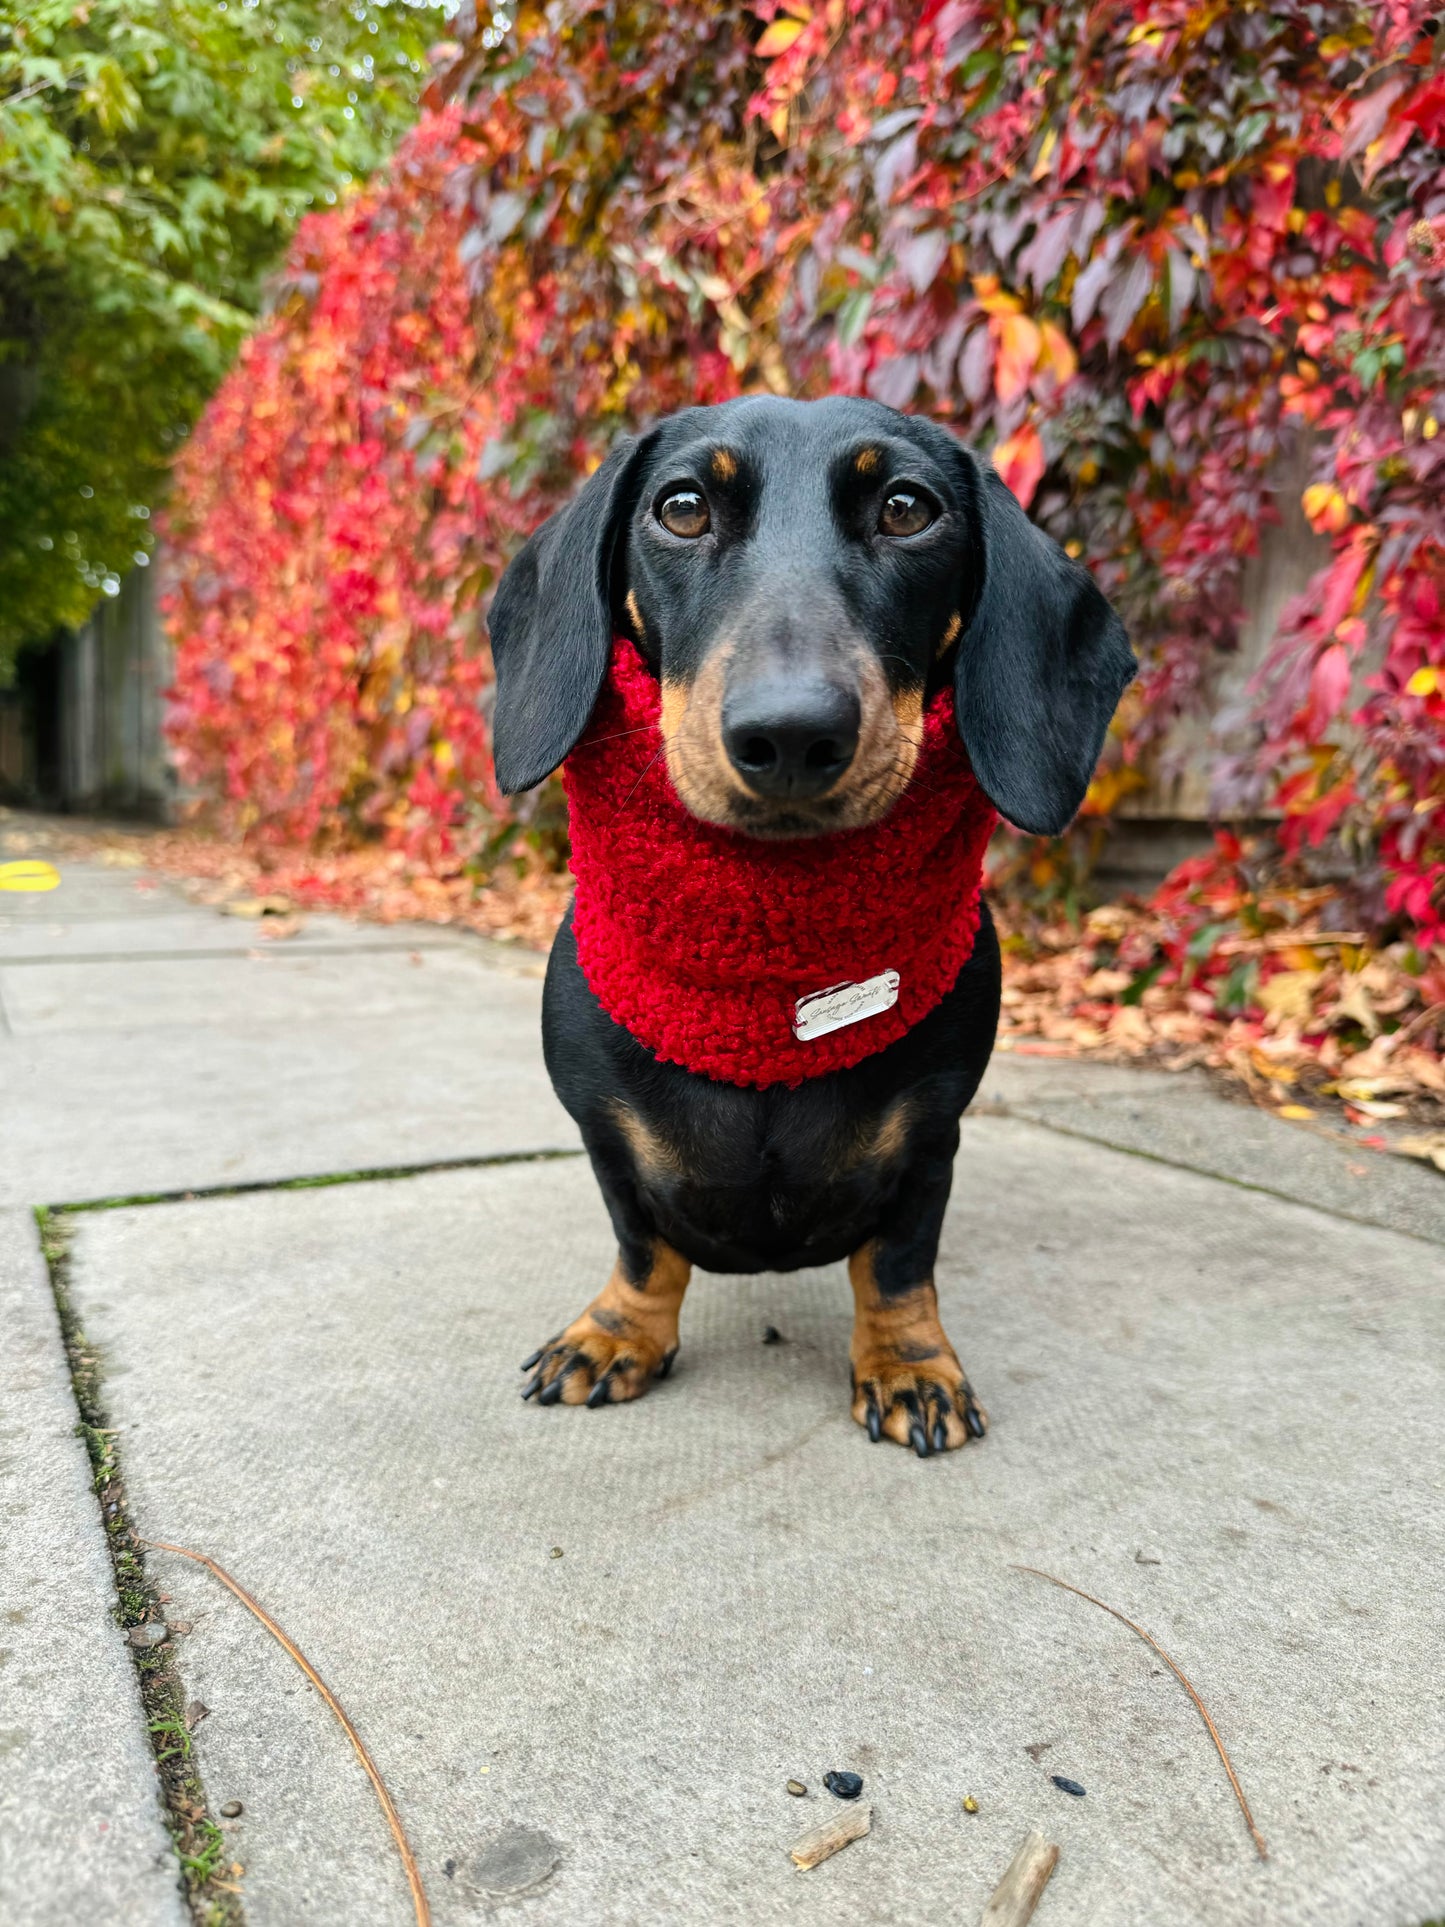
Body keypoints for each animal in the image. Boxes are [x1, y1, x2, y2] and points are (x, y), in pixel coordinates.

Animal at [493, 402, 1140, 1456]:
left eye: (907, 507)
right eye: (680, 507)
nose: (790, 734)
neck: (771, 988)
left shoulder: (929, 1141)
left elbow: (898, 1263)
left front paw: (910, 1363)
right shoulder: (605, 1138)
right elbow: (643, 1246)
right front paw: (618, 1331)